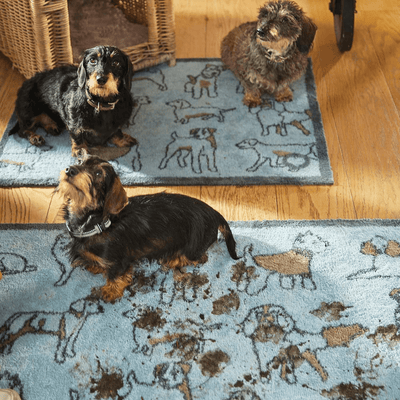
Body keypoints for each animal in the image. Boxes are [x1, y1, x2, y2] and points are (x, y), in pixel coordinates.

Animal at [9, 45, 137, 158]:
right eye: (92, 60)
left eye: (116, 63)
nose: (101, 79)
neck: (101, 104)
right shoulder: (74, 124)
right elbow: (77, 135)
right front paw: (80, 149)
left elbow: (117, 131)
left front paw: (122, 139)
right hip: (29, 110)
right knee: (22, 130)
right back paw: (35, 137)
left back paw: (51, 126)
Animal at [55, 155, 238, 302]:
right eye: (80, 161)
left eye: (99, 173)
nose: (70, 170)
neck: (97, 222)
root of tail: (214, 213)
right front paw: (95, 265)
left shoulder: (118, 262)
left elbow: (115, 276)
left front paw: (110, 291)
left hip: (193, 247)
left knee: (199, 257)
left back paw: (173, 259)